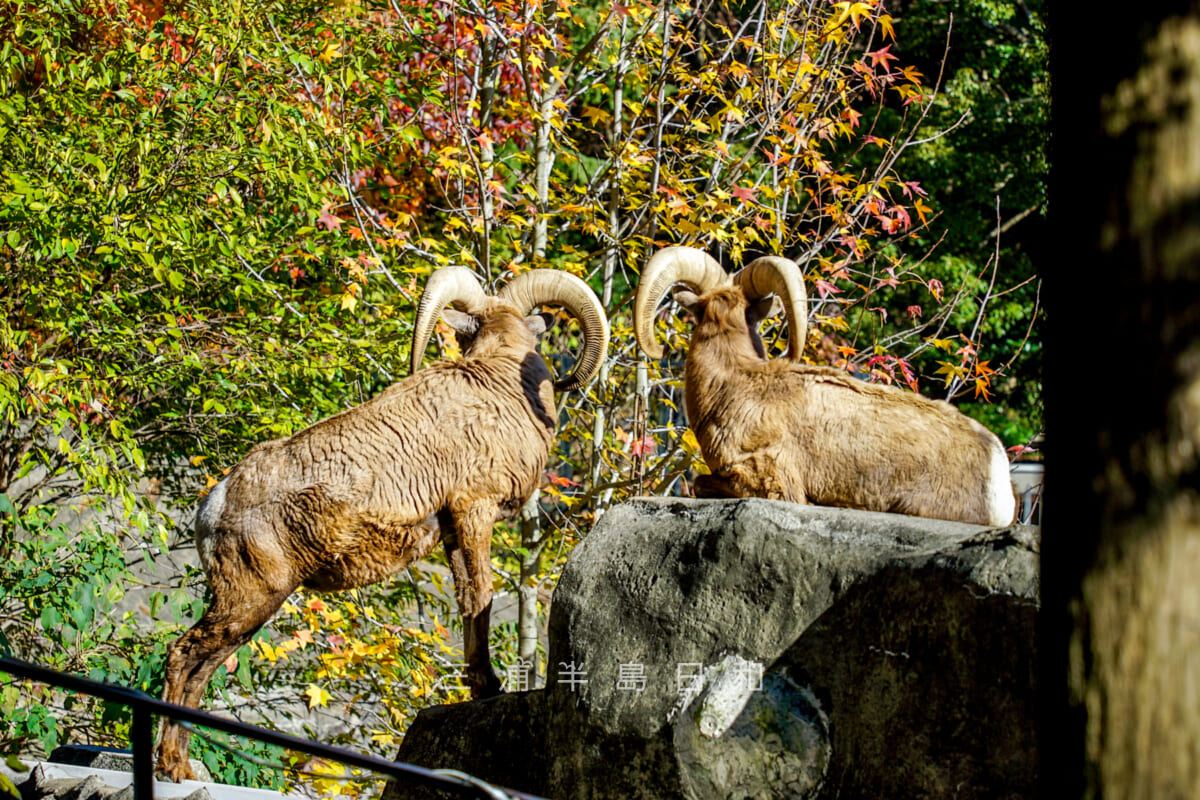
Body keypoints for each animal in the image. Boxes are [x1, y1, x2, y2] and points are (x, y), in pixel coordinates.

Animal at [153, 267, 609, 782]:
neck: (502, 386)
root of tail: (215, 504)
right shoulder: (476, 511)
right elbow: (482, 595)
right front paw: (490, 686)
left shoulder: (453, 531)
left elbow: (467, 598)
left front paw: (480, 685)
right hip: (250, 599)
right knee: (183, 655)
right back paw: (172, 768)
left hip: (247, 611)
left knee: (201, 668)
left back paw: (181, 770)